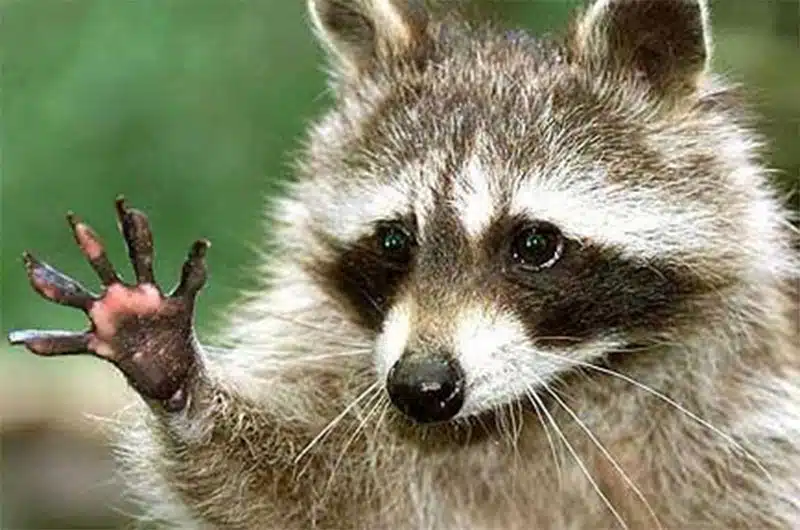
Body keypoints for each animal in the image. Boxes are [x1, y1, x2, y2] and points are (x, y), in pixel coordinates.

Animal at [9, 0, 799, 528]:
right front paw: (174, 369)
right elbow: (290, 491)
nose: (421, 388)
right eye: (394, 241)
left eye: (534, 244)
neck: (539, 400)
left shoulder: (746, 432)